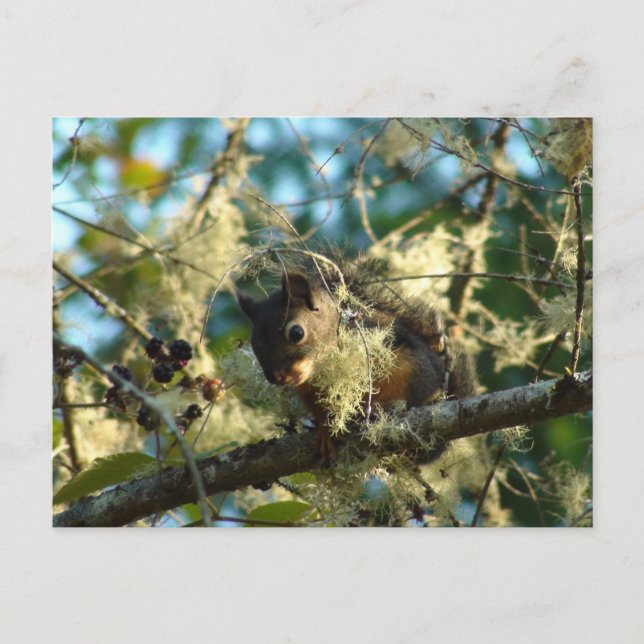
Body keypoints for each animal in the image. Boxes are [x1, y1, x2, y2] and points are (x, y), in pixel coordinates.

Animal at [237, 253, 474, 461]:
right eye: (254, 344)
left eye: (296, 333)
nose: (277, 377)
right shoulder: (309, 392)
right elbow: (322, 413)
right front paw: (325, 431)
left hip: (416, 373)